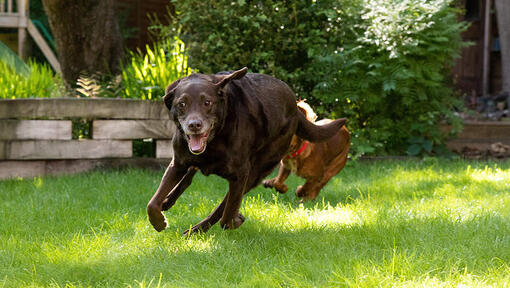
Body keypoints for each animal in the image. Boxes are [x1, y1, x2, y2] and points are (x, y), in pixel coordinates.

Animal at [146, 67, 346, 234]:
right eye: (181, 104)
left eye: (207, 102)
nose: (194, 125)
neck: (215, 139)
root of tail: (295, 108)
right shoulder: (178, 163)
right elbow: (152, 203)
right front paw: (159, 221)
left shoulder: (241, 174)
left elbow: (226, 214)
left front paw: (234, 219)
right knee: (189, 177)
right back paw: (169, 202)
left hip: (259, 169)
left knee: (224, 206)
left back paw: (197, 229)